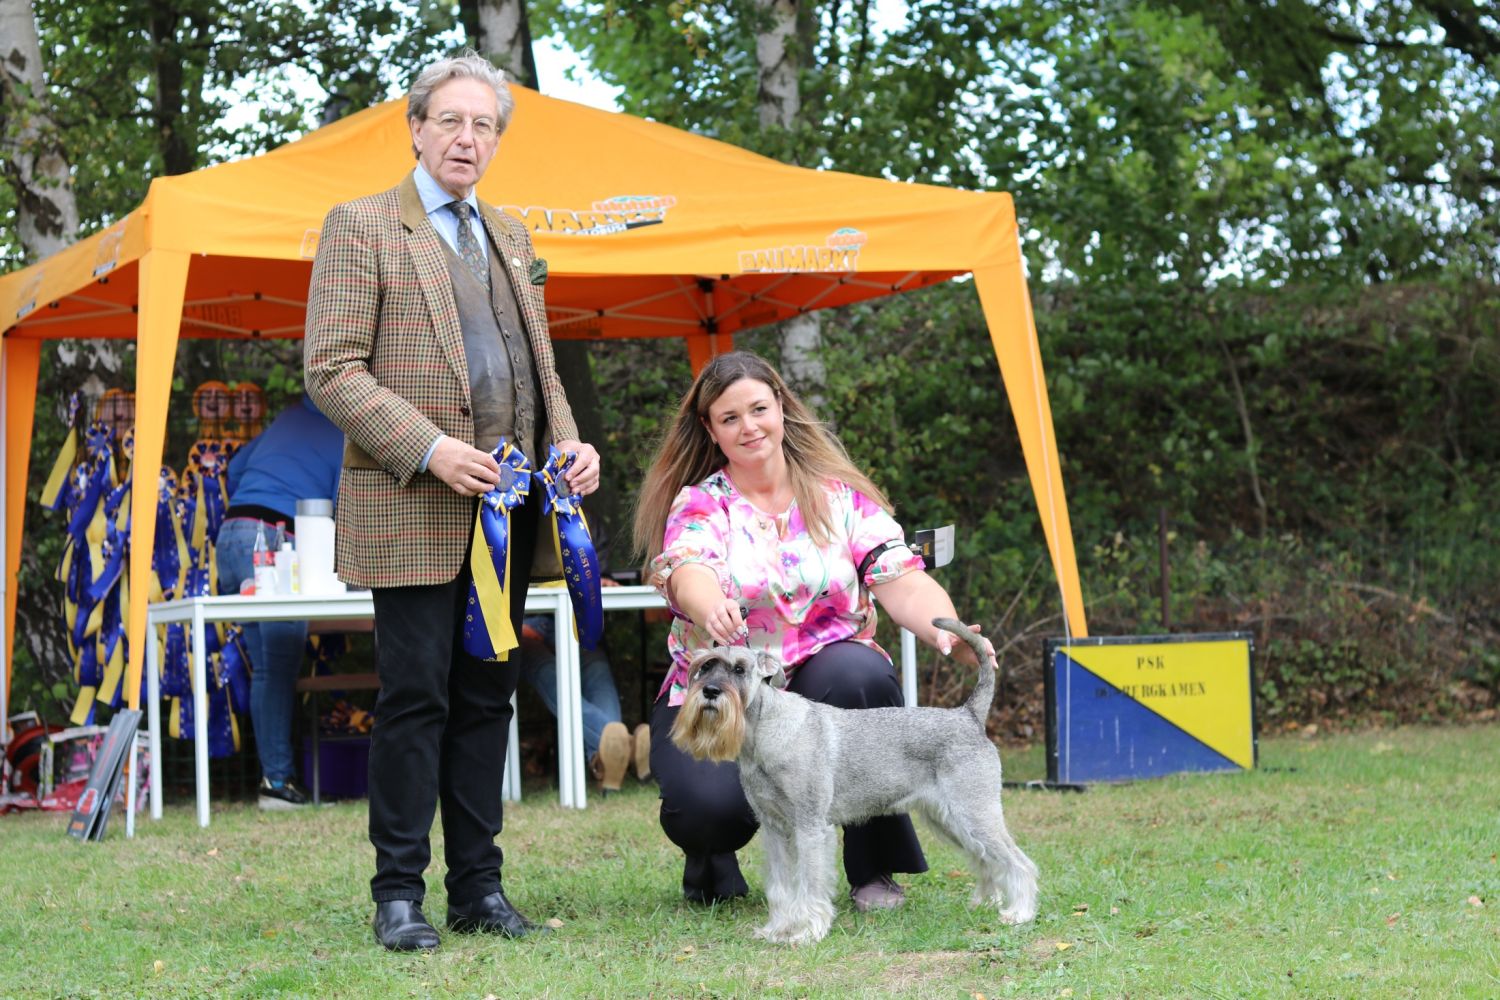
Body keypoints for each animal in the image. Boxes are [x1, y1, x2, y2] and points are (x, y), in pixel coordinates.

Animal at [671, 618, 1039, 945]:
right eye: (705, 666)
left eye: (739, 670)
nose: (711, 691)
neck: (765, 730)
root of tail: (969, 715)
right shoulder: (775, 830)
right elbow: (781, 887)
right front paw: (777, 929)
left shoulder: (810, 828)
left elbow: (810, 884)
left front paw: (807, 932)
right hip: (951, 820)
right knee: (986, 859)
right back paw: (987, 903)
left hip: (976, 813)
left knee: (1019, 862)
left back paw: (1019, 913)